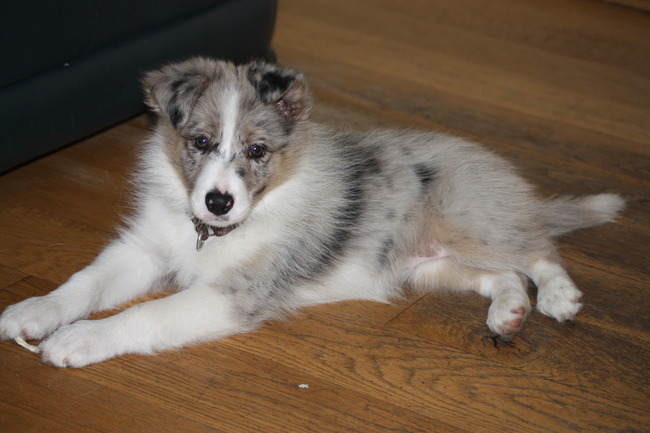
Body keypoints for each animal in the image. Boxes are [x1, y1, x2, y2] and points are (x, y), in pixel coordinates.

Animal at [0, 58, 624, 367]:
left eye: (257, 151)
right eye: (199, 142)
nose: (218, 202)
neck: (209, 234)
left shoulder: (233, 295)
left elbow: (144, 315)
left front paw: (78, 341)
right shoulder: (144, 250)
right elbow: (85, 282)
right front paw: (35, 311)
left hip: (466, 220)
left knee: (537, 248)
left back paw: (558, 296)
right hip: (430, 265)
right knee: (503, 274)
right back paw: (510, 314)